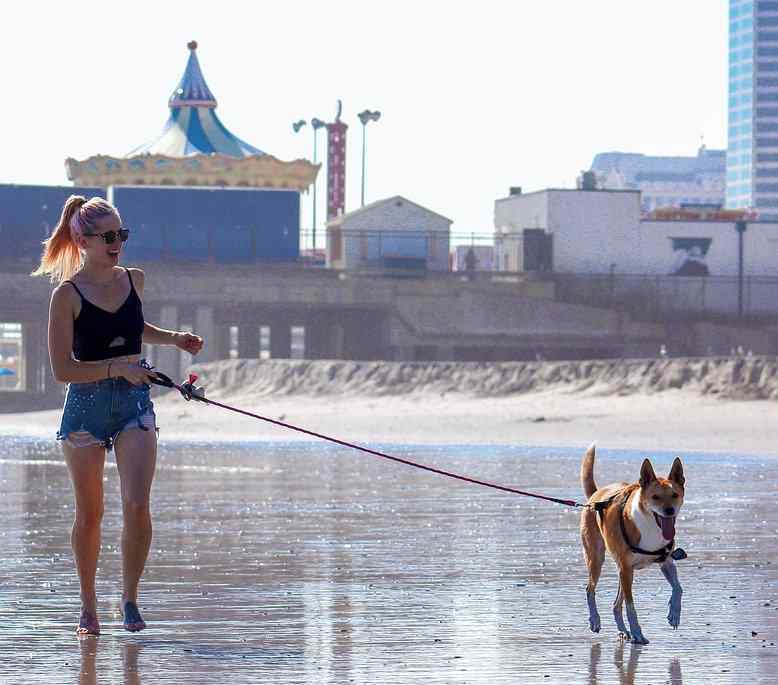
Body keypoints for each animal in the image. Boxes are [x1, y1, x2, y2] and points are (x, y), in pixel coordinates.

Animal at [580, 444, 684, 640]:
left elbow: (678, 588)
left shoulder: (666, 562)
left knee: (615, 605)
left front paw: (674, 613)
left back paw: (622, 630)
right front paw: (637, 632)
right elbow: (631, 607)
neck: (650, 525)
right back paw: (595, 620)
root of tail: (596, 495)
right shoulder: (626, 569)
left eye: (675, 495)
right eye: (655, 497)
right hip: (598, 559)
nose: (669, 511)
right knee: (590, 589)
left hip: (623, 572)